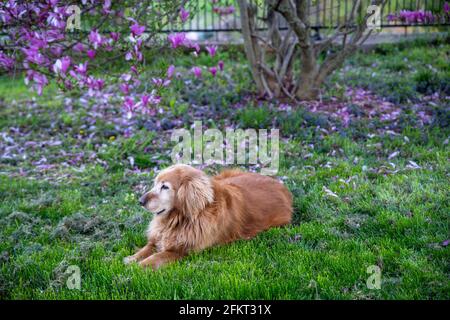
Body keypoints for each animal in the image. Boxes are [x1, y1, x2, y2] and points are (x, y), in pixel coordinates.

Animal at [123, 164, 292, 268]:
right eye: (155, 184)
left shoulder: (182, 251)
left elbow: (157, 256)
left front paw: (139, 267)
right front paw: (131, 259)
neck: (181, 219)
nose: (140, 201)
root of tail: (281, 185)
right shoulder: (158, 238)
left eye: (165, 187)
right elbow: (146, 248)